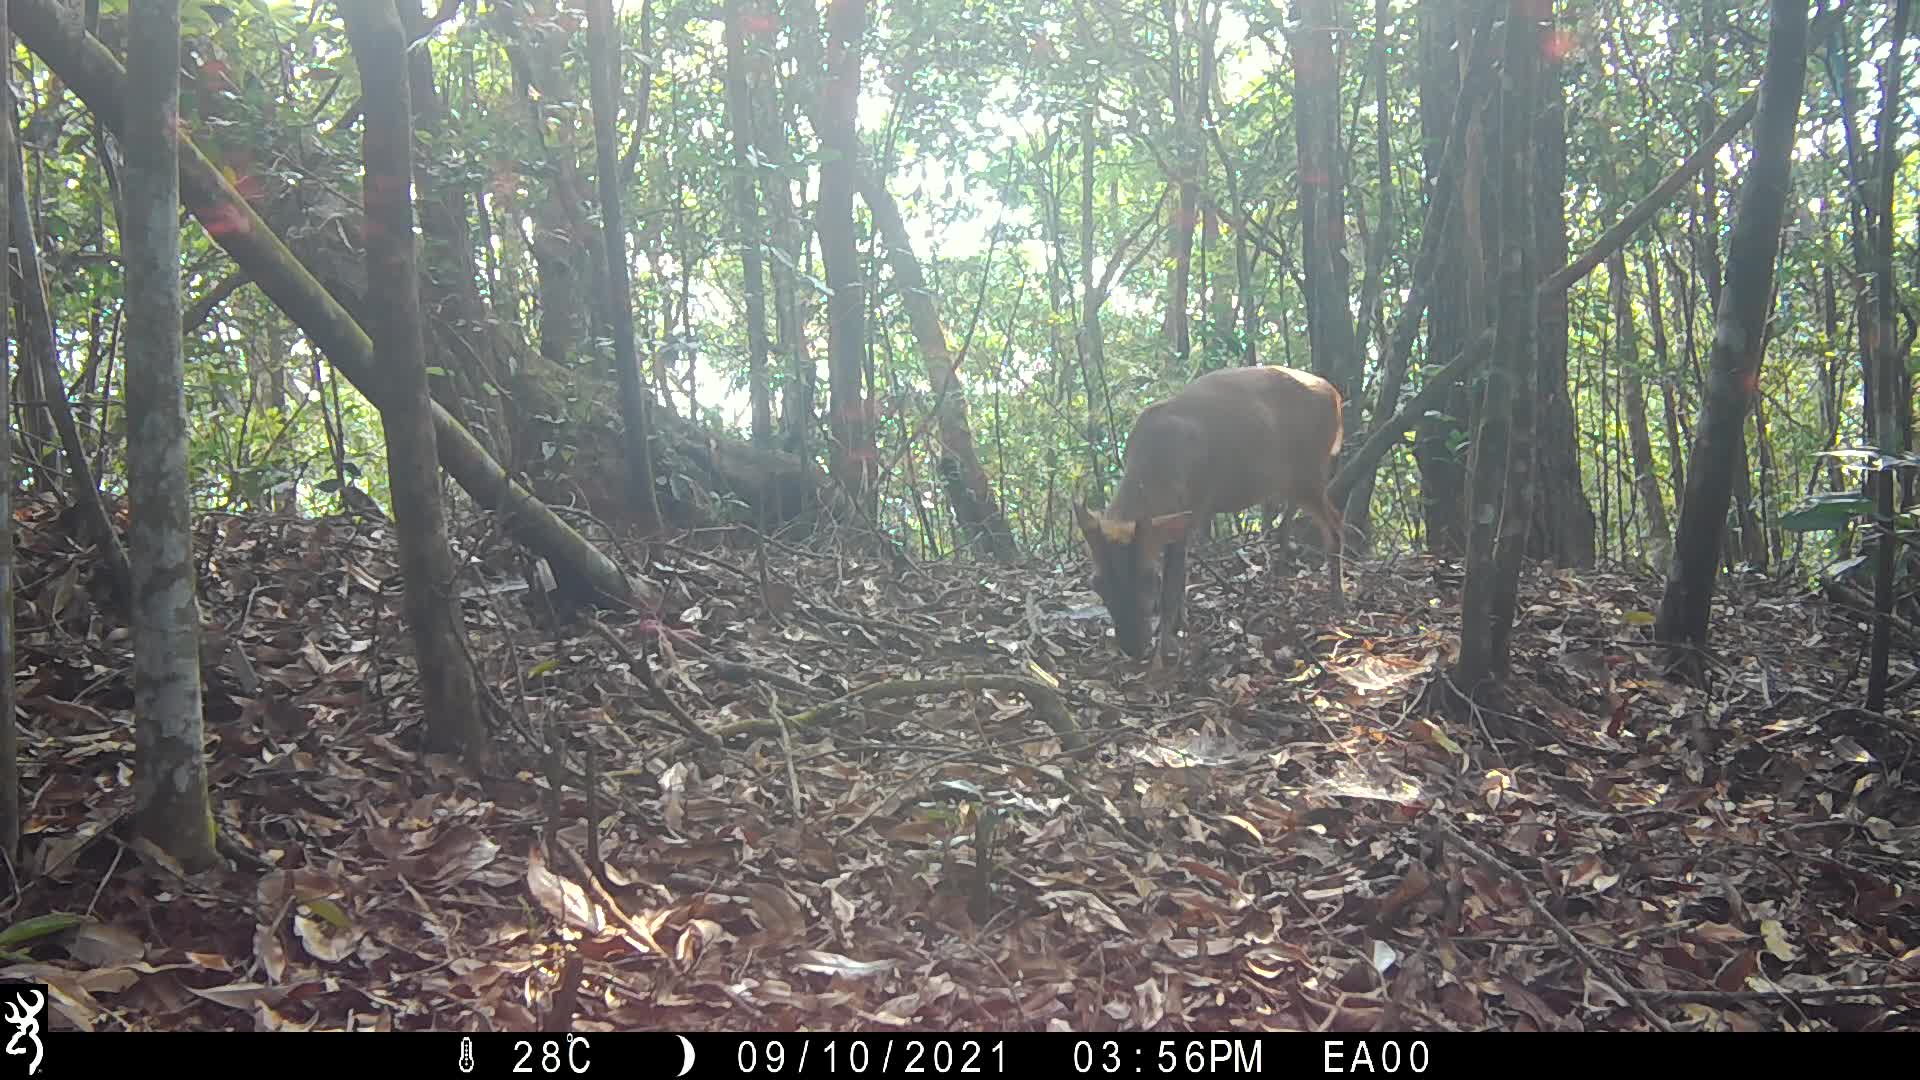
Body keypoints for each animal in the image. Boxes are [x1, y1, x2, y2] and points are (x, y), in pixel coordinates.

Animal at [1075, 363, 1344, 664]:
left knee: (1335, 523)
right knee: (1290, 518)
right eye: (1097, 584)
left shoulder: (1192, 510)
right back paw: (1277, 573)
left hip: (1310, 469)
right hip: (1292, 478)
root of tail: (1335, 395)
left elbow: (1172, 585)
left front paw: (1166, 647)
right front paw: (1180, 624)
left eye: (1148, 578)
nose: (1133, 648)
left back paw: (1338, 599)